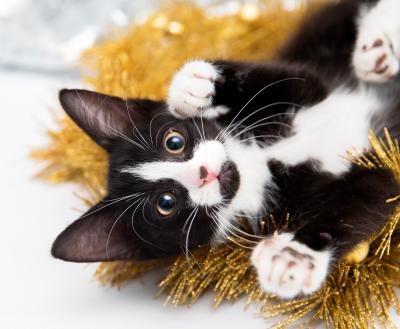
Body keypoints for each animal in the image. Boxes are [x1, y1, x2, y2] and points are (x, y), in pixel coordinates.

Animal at [51, 0, 400, 298]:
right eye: (165, 204)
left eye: (174, 142)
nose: (204, 173)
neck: (260, 159)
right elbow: (371, 192)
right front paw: (294, 257)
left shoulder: (309, 81)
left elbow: (290, 79)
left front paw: (193, 85)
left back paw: (378, 43)